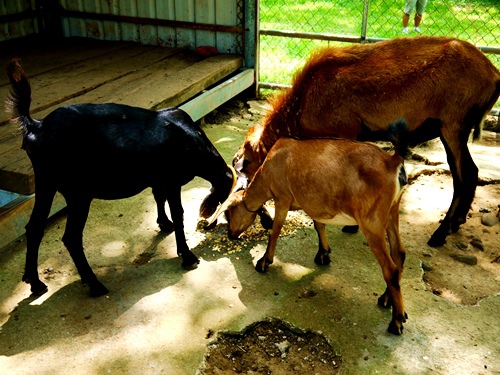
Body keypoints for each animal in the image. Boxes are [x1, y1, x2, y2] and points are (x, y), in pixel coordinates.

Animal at [5, 58, 236, 298]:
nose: (229, 231)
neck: (194, 142)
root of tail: (37, 126)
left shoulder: (159, 179)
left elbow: (158, 198)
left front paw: (164, 223)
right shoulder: (172, 181)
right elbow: (178, 213)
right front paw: (187, 255)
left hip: (45, 182)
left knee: (34, 228)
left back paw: (35, 282)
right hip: (78, 193)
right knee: (71, 237)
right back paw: (94, 284)